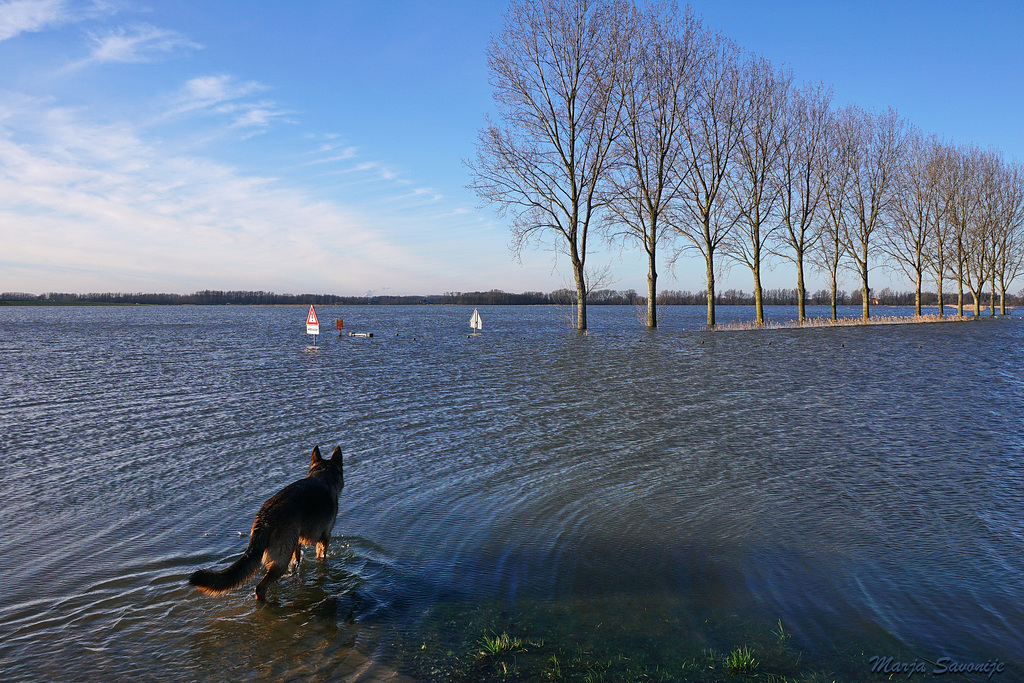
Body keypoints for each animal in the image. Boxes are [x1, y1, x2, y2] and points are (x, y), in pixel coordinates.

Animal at [186, 446, 342, 602]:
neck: (322, 475)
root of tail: (264, 518)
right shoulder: (324, 538)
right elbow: (321, 557)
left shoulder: (297, 543)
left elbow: (296, 565)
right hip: (282, 559)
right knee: (260, 587)